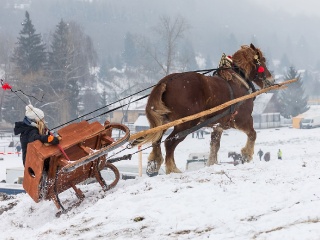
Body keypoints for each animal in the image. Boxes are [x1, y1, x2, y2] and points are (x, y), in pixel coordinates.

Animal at [134, 44, 274, 176]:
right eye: (263, 60)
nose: (271, 80)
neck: (238, 81)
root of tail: (167, 81)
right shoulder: (242, 120)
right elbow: (253, 134)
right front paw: (246, 155)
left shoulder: (218, 126)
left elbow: (214, 146)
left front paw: (211, 164)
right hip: (186, 124)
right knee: (169, 142)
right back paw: (172, 169)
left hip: (164, 121)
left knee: (157, 140)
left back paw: (154, 164)